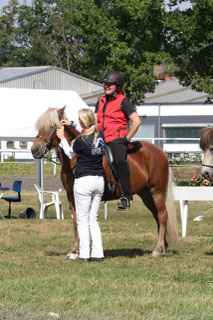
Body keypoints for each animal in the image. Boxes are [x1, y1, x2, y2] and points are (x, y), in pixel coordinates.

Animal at [31, 106, 178, 258]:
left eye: (51, 126)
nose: (35, 150)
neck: (74, 159)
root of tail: (161, 152)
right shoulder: (72, 195)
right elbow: (76, 221)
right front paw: (75, 251)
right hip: (146, 194)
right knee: (157, 216)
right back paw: (163, 247)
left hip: (157, 191)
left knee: (162, 215)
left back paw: (158, 249)